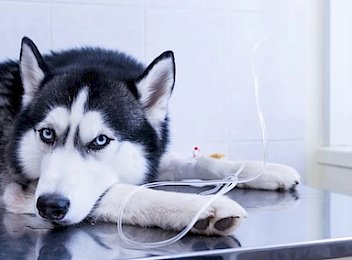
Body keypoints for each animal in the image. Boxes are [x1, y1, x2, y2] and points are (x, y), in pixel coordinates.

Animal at [0, 38, 300, 236]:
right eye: (47, 133)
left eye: (100, 140)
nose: (50, 206)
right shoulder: (19, 192)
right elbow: (124, 192)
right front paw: (200, 207)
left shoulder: (151, 155)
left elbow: (198, 162)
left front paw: (266, 170)